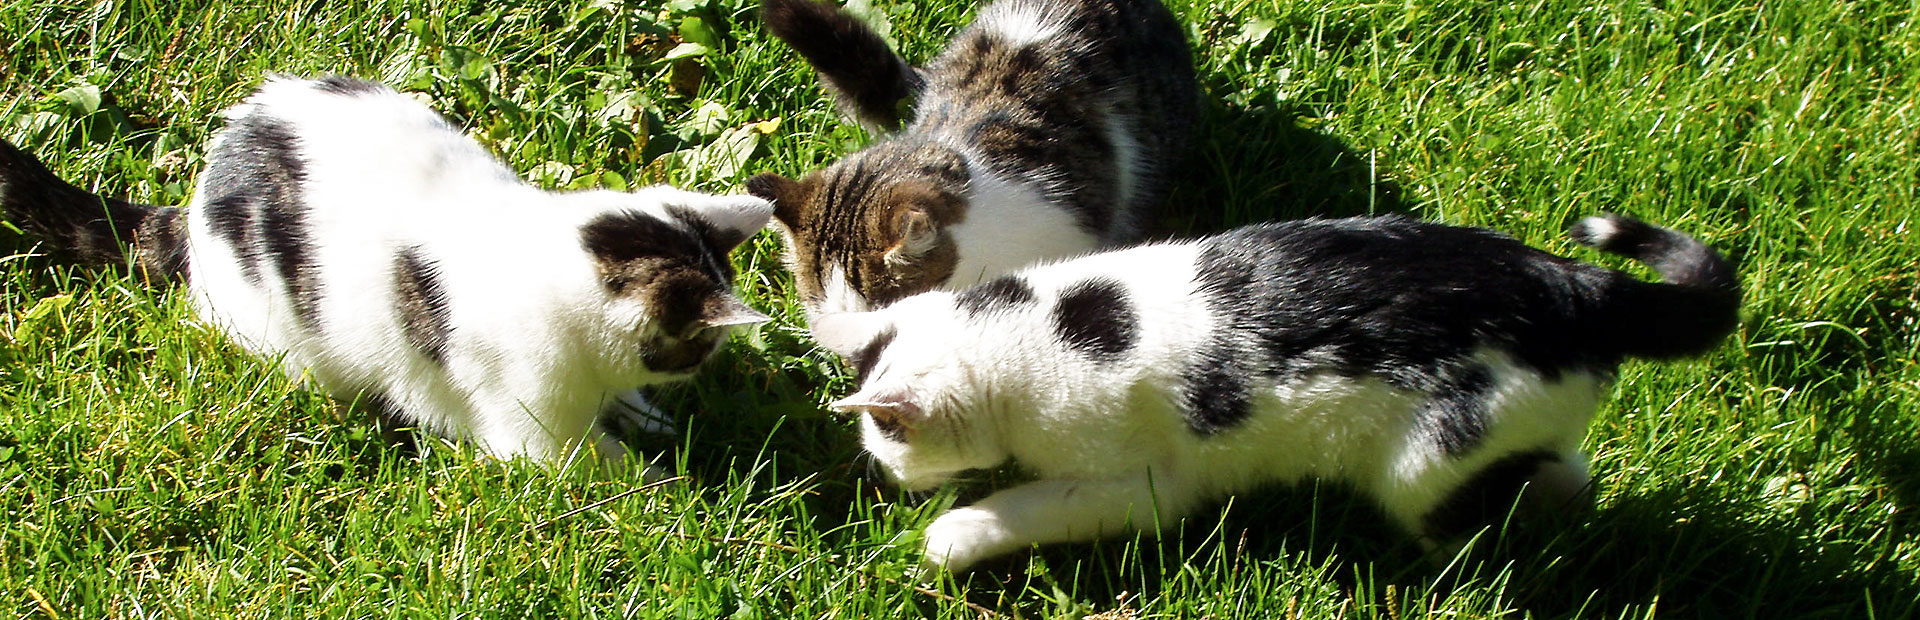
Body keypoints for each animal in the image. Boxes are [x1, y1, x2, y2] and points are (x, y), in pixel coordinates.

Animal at [5, 76, 779, 466]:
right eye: (705, 343)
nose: (704, 367)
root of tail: (193, 209)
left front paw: (643, 414)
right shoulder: (528, 421)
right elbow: (582, 464)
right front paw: (645, 481)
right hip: (286, 337)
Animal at [802, 212, 1751, 572]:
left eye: (884, 440)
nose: (883, 476)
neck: (1025, 328)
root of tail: (1580, 287)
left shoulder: (1139, 486)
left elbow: (1027, 506)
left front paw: (949, 536)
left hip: (1427, 466)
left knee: (1485, 526)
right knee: (1569, 470)